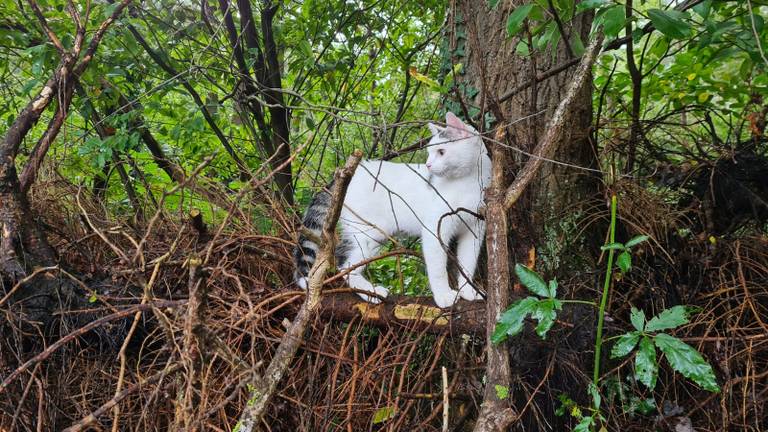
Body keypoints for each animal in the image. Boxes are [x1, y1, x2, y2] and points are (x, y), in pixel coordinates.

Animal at [296, 111, 492, 308]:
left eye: (441, 152)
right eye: (430, 153)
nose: (428, 165)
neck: (467, 182)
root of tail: (353, 173)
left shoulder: (474, 231)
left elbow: (468, 262)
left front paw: (468, 291)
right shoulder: (435, 229)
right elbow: (438, 268)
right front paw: (443, 295)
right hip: (368, 233)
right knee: (344, 264)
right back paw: (372, 292)